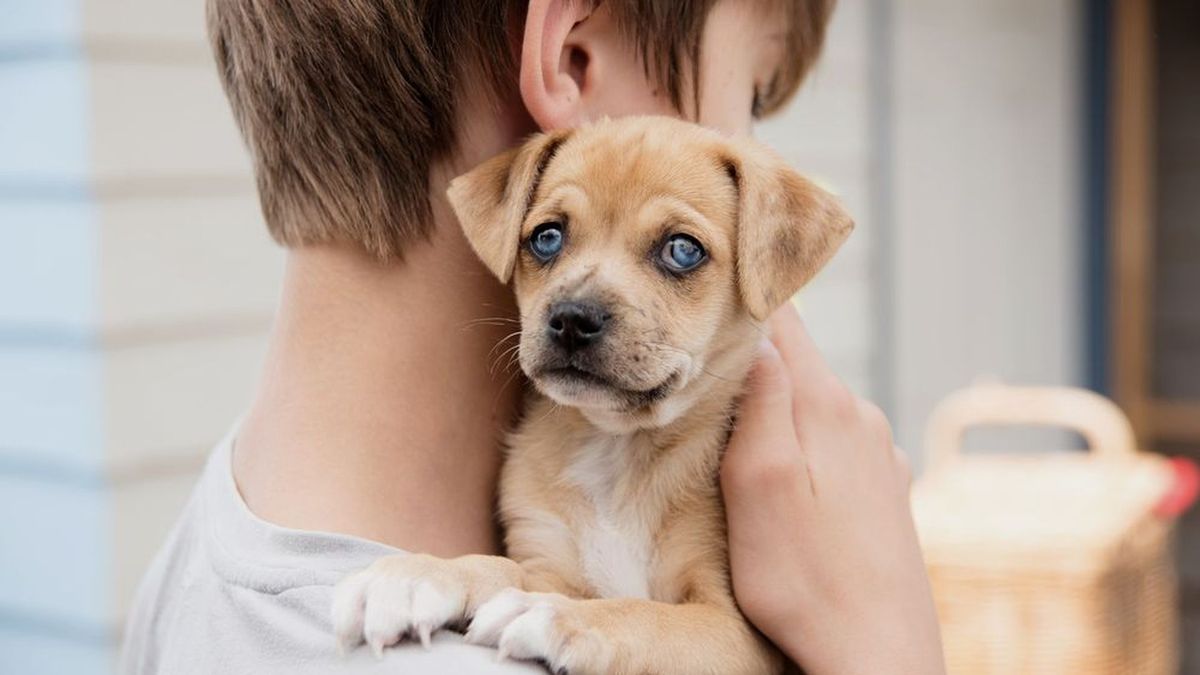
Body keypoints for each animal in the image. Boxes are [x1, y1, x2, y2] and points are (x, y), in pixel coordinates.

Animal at [328, 118, 854, 672]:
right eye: (546, 238)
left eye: (683, 249)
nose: (572, 319)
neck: (617, 450)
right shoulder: (547, 558)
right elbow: (499, 567)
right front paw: (421, 575)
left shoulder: (741, 635)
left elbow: (647, 617)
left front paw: (552, 614)